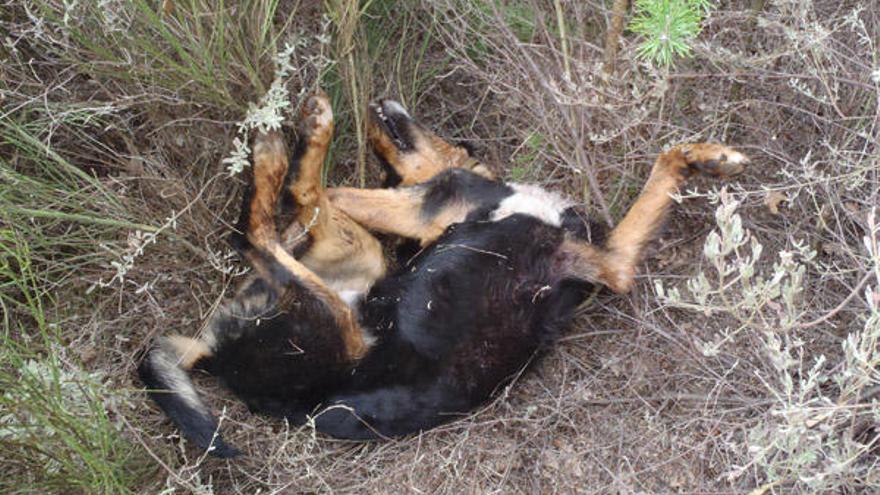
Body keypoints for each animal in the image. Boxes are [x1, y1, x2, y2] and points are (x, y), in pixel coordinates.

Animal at [141, 90, 744, 458]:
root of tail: (214, 353)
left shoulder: (605, 263)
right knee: (267, 225)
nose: (378, 106)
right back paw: (282, 147)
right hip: (339, 311)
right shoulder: (432, 210)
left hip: (354, 280)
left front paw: (704, 156)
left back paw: (277, 149)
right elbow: (322, 195)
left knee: (271, 226)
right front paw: (704, 155)